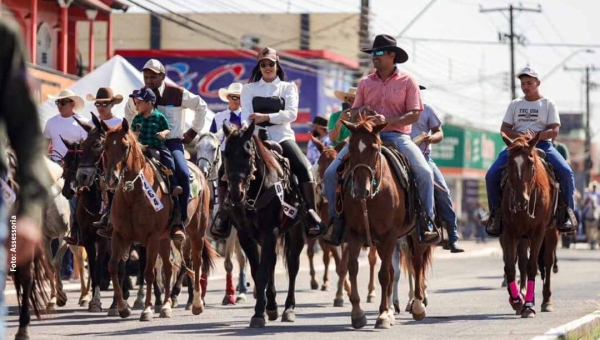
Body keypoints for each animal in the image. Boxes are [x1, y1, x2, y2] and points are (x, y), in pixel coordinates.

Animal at [340, 115, 434, 328]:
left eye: (375, 148)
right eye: (350, 148)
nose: (360, 190)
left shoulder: (389, 235)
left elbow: (384, 274)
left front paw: (383, 315)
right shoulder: (353, 233)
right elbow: (353, 268)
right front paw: (357, 313)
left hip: (415, 234)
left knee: (416, 263)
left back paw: (417, 306)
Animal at [500, 131, 556, 318]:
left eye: (531, 163)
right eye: (509, 163)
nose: (520, 201)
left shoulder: (539, 230)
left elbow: (533, 266)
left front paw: (529, 306)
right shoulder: (509, 231)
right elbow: (510, 266)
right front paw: (517, 300)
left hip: (551, 232)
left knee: (547, 261)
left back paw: (546, 301)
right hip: (523, 236)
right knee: (522, 262)